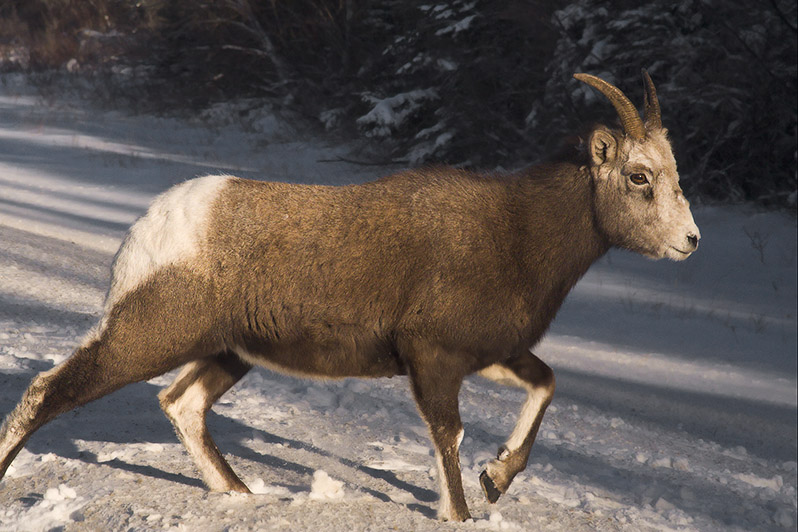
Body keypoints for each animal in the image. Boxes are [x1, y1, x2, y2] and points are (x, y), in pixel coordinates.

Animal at [0, 69, 700, 520]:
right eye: (639, 177)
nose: (690, 241)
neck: (517, 237)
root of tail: (153, 226)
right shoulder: (433, 360)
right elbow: (449, 441)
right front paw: (466, 506)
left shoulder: (487, 356)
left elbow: (545, 386)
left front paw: (496, 480)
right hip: (147, 336)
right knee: (48, 391)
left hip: (227, 354)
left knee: (181, 405)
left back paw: (243, 496)